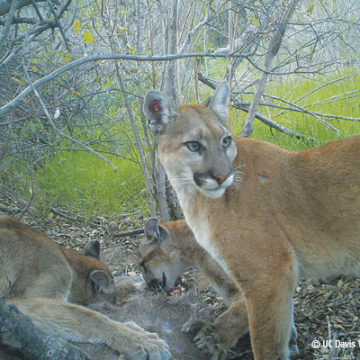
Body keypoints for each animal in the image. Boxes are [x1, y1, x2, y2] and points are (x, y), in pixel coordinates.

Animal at [0, 215, 170, 358]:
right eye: (113, 299)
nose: (116, 303)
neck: (69, 262)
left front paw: (135, 328)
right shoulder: (27, 301)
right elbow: (90, 317)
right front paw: (143, 341)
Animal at [144, 82, 360, 360]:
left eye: (226, 140)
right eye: (193, 145)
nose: (224, 176)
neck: (195, 198)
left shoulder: (266, 276)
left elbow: (266, 343)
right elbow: (284, 328)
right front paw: (292, 344)